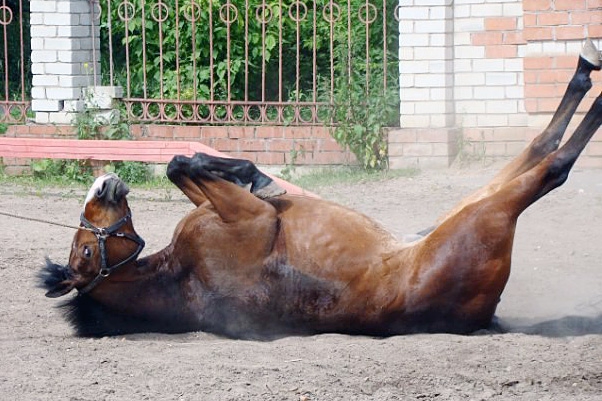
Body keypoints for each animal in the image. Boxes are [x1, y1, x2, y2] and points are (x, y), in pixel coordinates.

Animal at [41, 40, 600, 338]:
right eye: (85, 251)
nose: (104, 184)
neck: (184, 276)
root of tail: (486, 317)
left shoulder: (234, 210)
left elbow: (186, 166)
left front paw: (255, 176)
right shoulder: (251, 221)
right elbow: (186, 166)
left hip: (469, 206)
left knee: (539, 146)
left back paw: (585, 69)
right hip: (482, 219)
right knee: (552, 168)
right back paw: (587, 80)